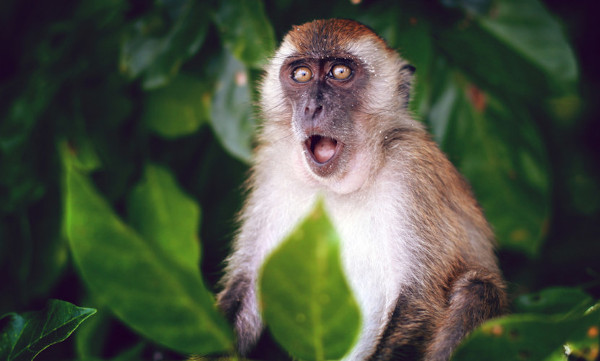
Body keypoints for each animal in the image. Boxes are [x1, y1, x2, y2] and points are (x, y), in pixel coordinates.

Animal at [216, 19, 506, 360]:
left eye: (340, 72)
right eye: (301, 74)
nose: (312, 106)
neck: (337, 186)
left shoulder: (411, 170)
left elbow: (419, 298)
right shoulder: (272, 168)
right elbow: (249, 287)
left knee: (477, 289)